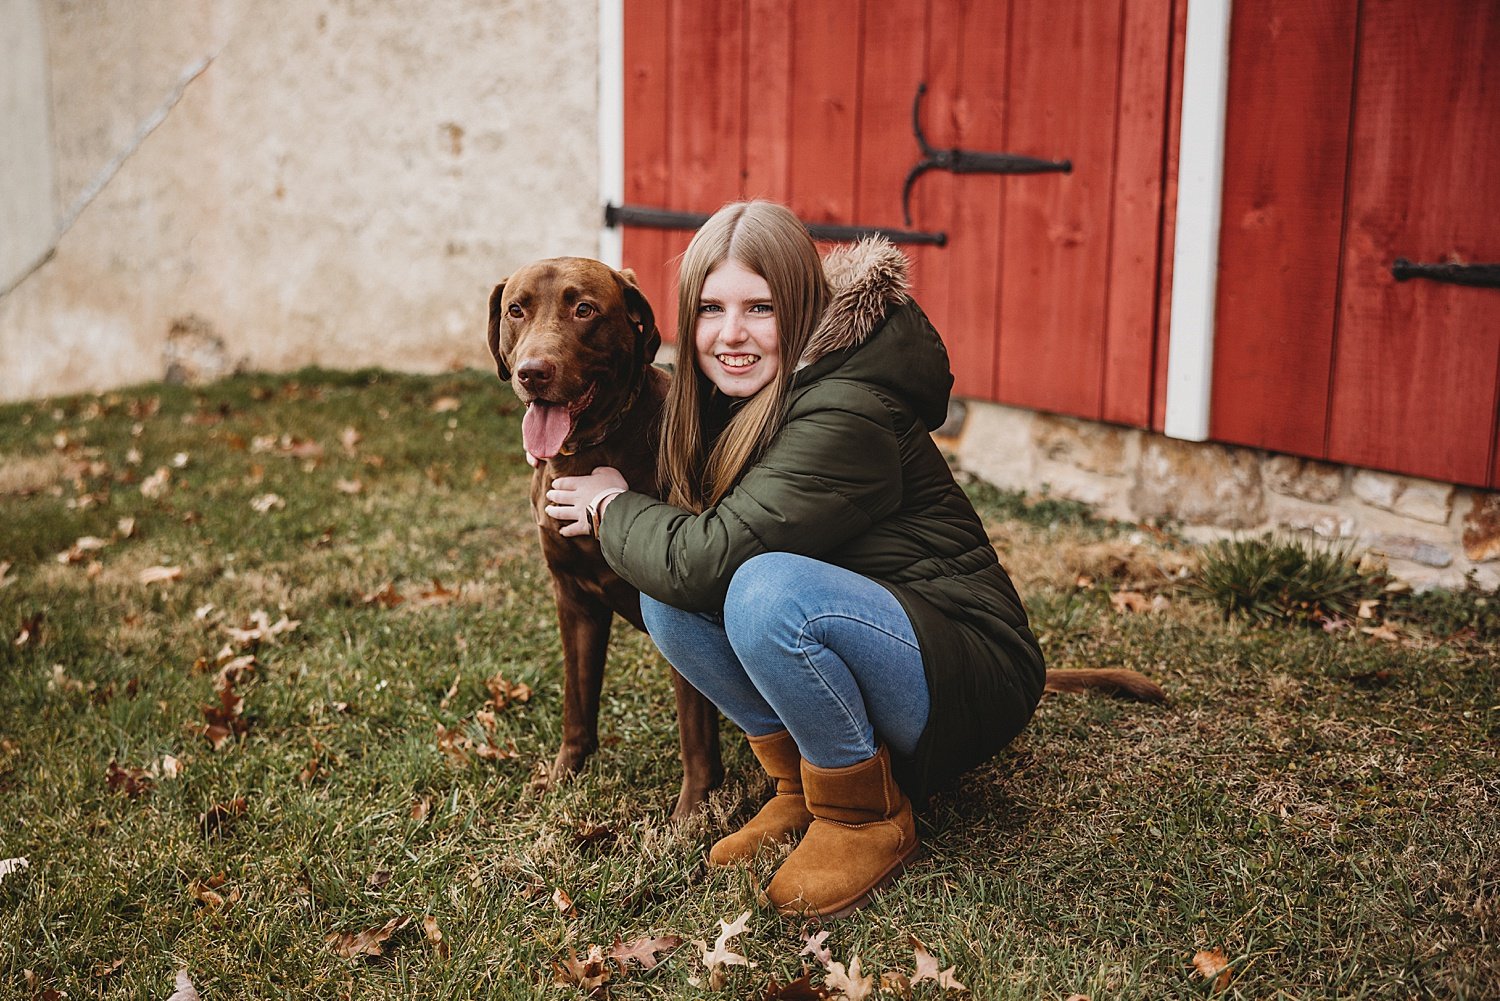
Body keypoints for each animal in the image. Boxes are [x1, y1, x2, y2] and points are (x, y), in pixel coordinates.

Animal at [489, 256, 723, 822]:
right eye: (515, 309)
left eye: (584, 310)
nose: (533, 372)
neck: (589, 453)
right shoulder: (573, 598)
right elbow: (578, 700)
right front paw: (563, 776)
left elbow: (694, 729)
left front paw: (691, 817)